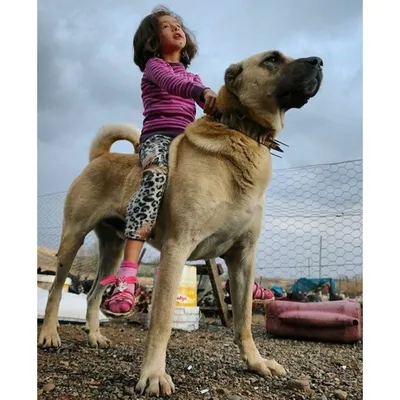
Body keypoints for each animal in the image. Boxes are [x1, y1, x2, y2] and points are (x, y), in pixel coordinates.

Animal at [39, 50, 324, 396]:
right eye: (272, 59)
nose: (319, 61)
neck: (241, 132)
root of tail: (99, 157)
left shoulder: (243, 257)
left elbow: (243, 318)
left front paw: (256, 363)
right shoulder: (177, 250)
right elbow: (161, 321)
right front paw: (153, 375)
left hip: (114, 250)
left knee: (94, 294)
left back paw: (94, 335)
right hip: (73, 240)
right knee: (55, 290)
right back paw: (49, 334)